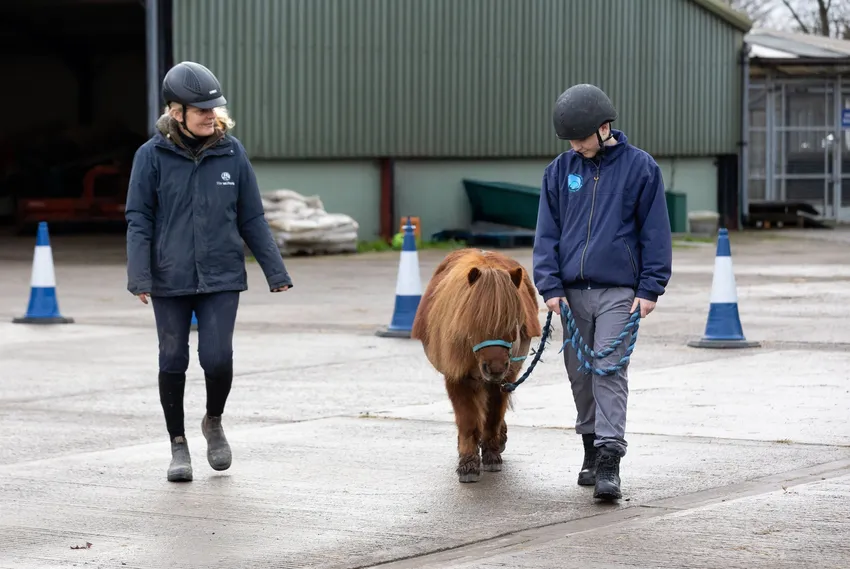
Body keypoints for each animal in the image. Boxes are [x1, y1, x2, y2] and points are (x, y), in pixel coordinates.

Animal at [411, 248, 543, 483]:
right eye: (475, 322)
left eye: (513, 323)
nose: (495, 367)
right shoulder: (457, 377)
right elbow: (468, 420)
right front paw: (468, 463)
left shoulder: (503, 379)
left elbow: (493, 415)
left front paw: (491, 453)